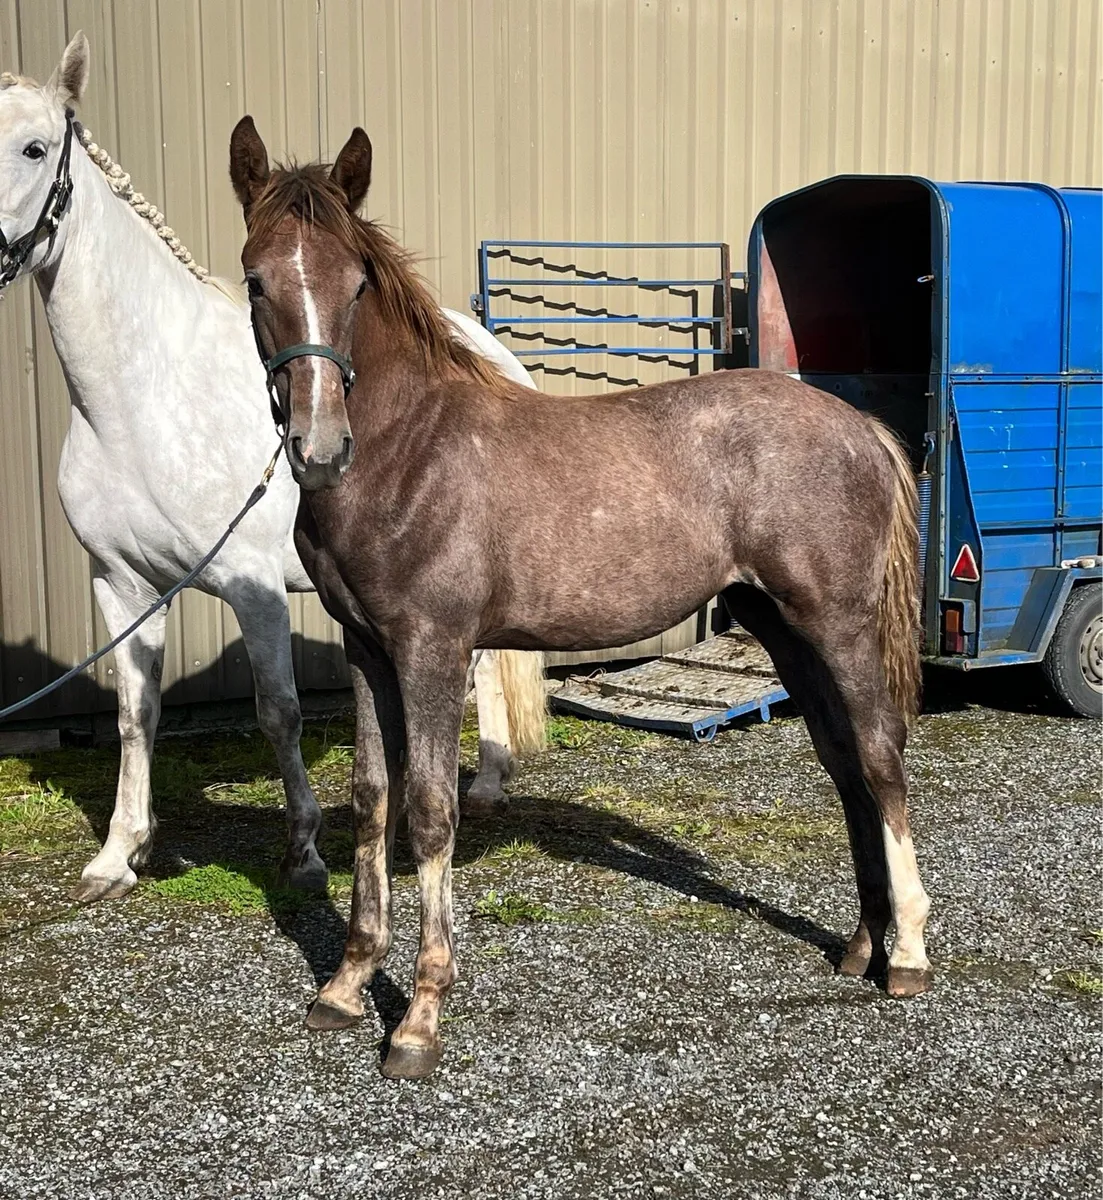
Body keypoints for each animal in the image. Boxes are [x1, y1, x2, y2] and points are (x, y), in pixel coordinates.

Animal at [0, 33, 545, 905]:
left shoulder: (249, 585)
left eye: (35, 147)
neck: (140, 397)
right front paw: (120, 854)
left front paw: (305, 851)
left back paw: (489, 783)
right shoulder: (120, 583)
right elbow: (133, 714)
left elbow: (278, 712)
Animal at [229, 116, 934, 1082]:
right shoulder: (369, 651)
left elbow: (430, 812)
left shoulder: (431, 649)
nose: (319, 446)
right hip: (781, 627)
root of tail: (858, 425)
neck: (407, 451)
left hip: (839, 623)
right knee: (842, 766)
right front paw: (343, 988)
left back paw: (908, 958)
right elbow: (375, 802)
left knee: (878, 759)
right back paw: (861, 944)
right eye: (256, 277)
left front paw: (417, 1021)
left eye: (357, 279)